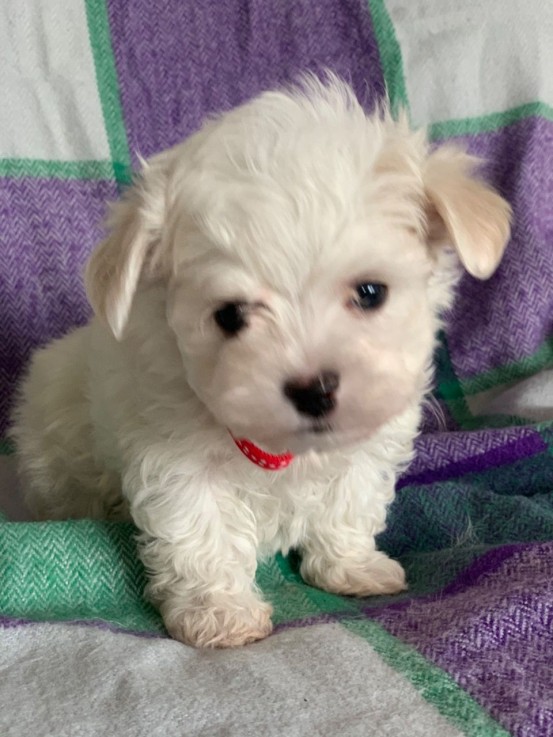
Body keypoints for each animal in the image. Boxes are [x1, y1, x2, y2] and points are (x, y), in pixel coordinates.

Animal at [11, 77, 508, 648]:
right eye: (230, 315)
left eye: (370, 292)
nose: (314, 389)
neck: (284, 448)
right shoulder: (173, 455)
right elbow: (199, 530)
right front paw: (219, 613)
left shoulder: (368, 443)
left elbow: (351, 498)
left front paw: (351, 567)